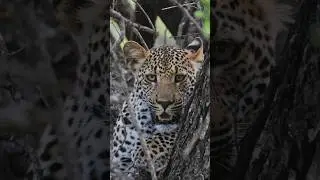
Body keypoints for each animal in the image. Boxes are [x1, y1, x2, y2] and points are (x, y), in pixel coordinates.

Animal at [110, 37, 205, 179]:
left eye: (179, 77)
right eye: (151, 77)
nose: (164, 103)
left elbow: (170, 134)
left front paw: (148, 152)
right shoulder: (118, 160)